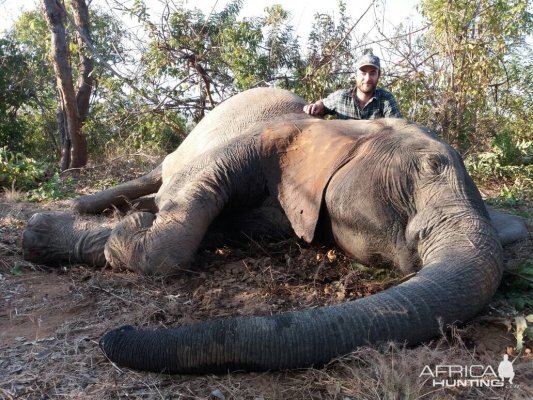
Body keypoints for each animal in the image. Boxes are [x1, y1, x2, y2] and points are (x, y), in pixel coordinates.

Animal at [22, 88, 524, 376]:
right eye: (426, 169)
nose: (113, 337)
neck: (347, 129)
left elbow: (219, 229)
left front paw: (132, 222)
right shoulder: (266, 138)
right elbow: (173, 236)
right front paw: (127, 222)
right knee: (161, 171)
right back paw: (81, 211)